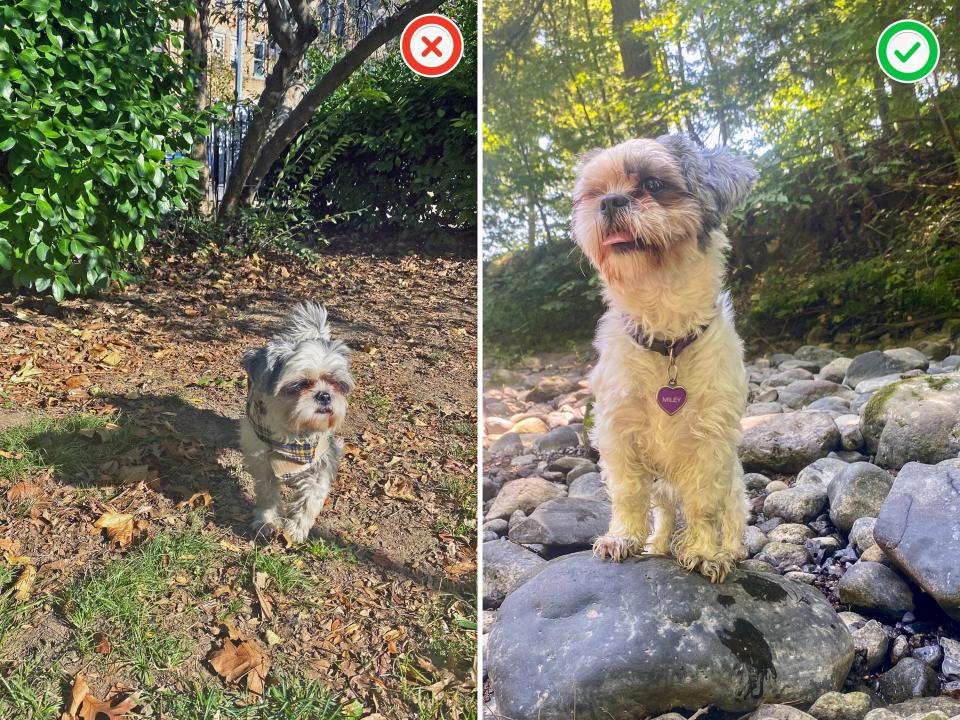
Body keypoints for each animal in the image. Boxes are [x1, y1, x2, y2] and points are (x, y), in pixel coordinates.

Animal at [242, 300, 354, 544]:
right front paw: (267, 521)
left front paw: (296, 527)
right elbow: (267, 493)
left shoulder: (324, 456)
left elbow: (312, 495)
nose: (324, 395)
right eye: (301, 384)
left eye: (336, 383)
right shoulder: (261, 458)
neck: (294, 434)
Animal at [572, 134, 752, 584]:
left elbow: (704, 507)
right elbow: (627, 495)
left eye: (654, 184)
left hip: (733, 485)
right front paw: (623, 537)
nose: (611, 201)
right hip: (663, 488)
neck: (667, 338)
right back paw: (657, 545)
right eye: (596, 192)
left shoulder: (710, 446)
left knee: (731, 517)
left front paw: (706, 553)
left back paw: (731, 550)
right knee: (667, 514)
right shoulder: (619, 434)